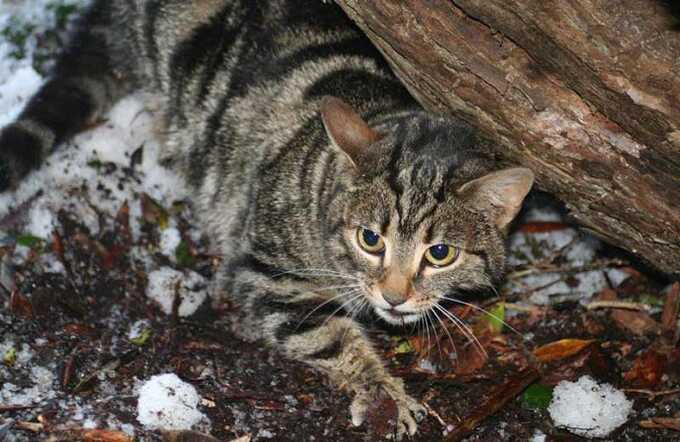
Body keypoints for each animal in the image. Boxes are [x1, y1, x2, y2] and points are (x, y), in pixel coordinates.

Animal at [0, 0, 532, 438]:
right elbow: (333, 336)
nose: (394, 296)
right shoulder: (267, 273)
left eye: (439, 253)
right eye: (370, 239)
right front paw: (382, 395)